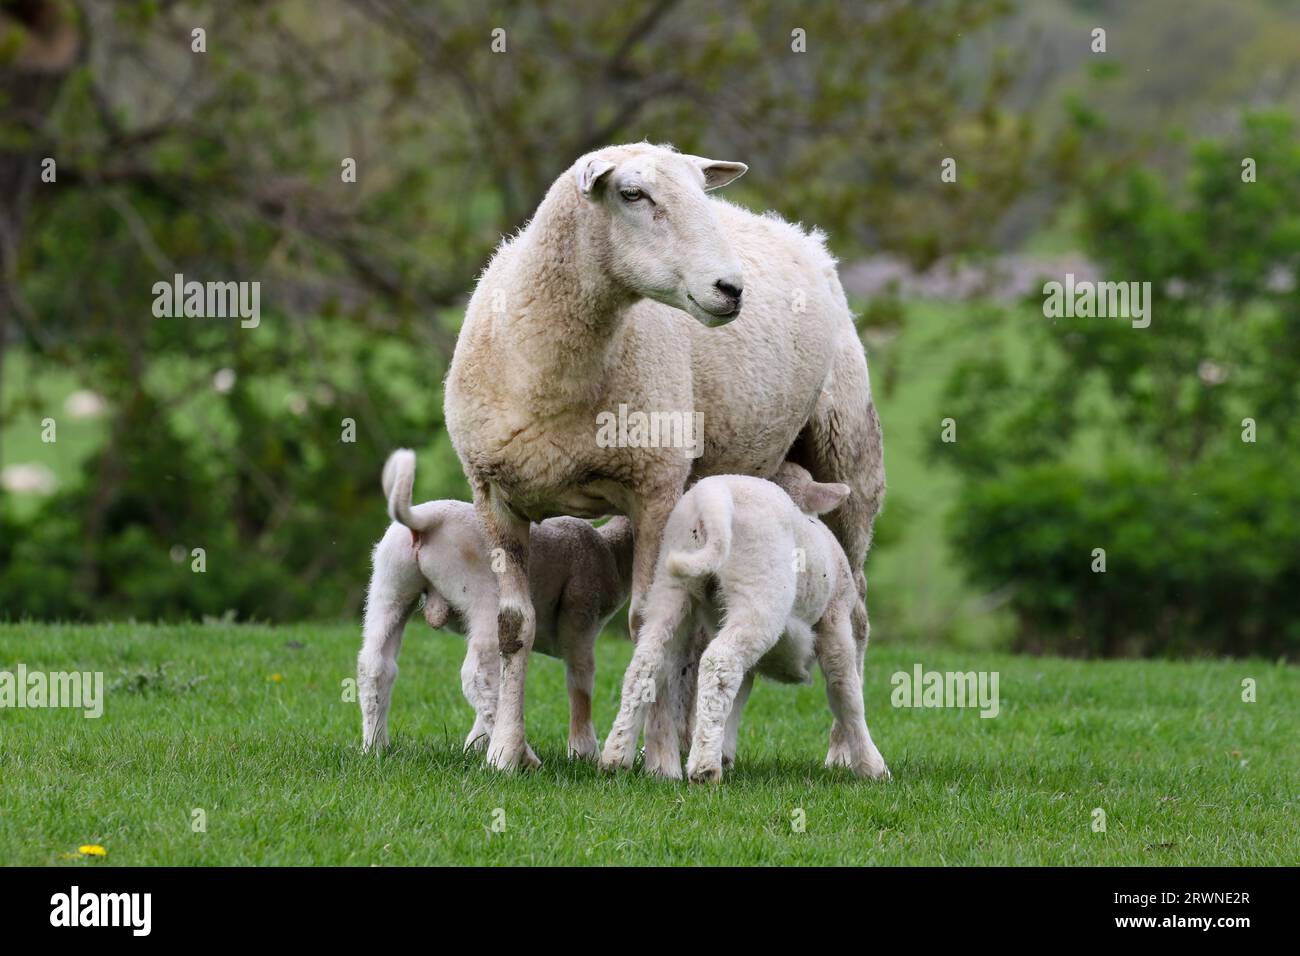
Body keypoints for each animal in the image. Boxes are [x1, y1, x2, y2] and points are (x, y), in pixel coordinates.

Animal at [357, 449, 634, 761]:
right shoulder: (581, 615)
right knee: (476, 675)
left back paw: (375, 748)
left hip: (388, 586)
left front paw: (475, 745)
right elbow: (581, 681)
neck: (613, 550)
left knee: (375, 666)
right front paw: (585, 754)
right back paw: (524, 757)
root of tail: (426, 521)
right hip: (482, 596)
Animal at [601, 465, 889, 783]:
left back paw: (616, 755)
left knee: (648, 660)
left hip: (670, 585)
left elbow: (738, 694)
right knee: (719, 660)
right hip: (759, 591)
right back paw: (704, 768)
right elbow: (846, 689)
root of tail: (712, 498)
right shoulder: (834, 618)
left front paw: (725, 750)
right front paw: (871, 765)